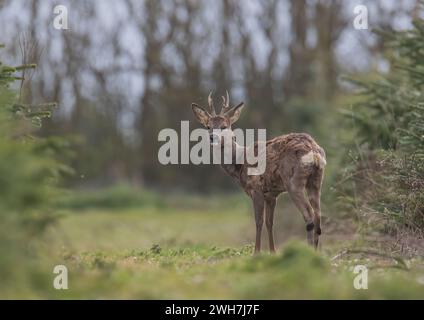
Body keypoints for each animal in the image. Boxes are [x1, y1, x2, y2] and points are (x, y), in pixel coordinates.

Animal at [190, 91, 326, 254]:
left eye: (224, 126)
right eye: (208, 126)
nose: (212, 137)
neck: (240, 163)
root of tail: (313, 150)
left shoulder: (256, 188)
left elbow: (259, 221)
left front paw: (256, 252)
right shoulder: (272, 194)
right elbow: (269, 222)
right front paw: (273, 252)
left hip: (294, 181)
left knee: (309, 215)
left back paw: (309, 251)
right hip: (316, 180)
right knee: (318, 216)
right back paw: (317, 253)